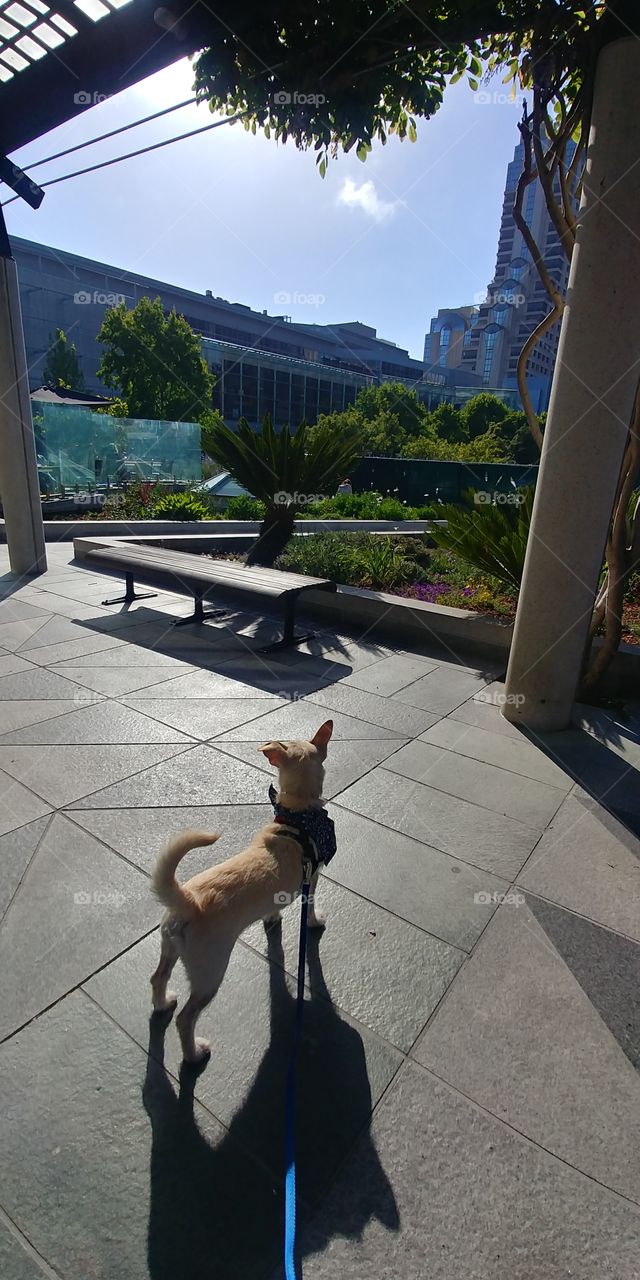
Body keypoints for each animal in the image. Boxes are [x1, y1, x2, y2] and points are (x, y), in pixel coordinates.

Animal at [149, 716, 335, 1064]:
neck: (297, 816)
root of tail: (188, 902)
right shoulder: (312, 878)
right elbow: (311, 906)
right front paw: (315, 922)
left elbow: (274, 911)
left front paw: (273, 919)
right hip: (210, 973)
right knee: (186, 1019)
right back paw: (194, 1054)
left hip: (169, 947)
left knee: (158, 978)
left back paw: (162, 1003)